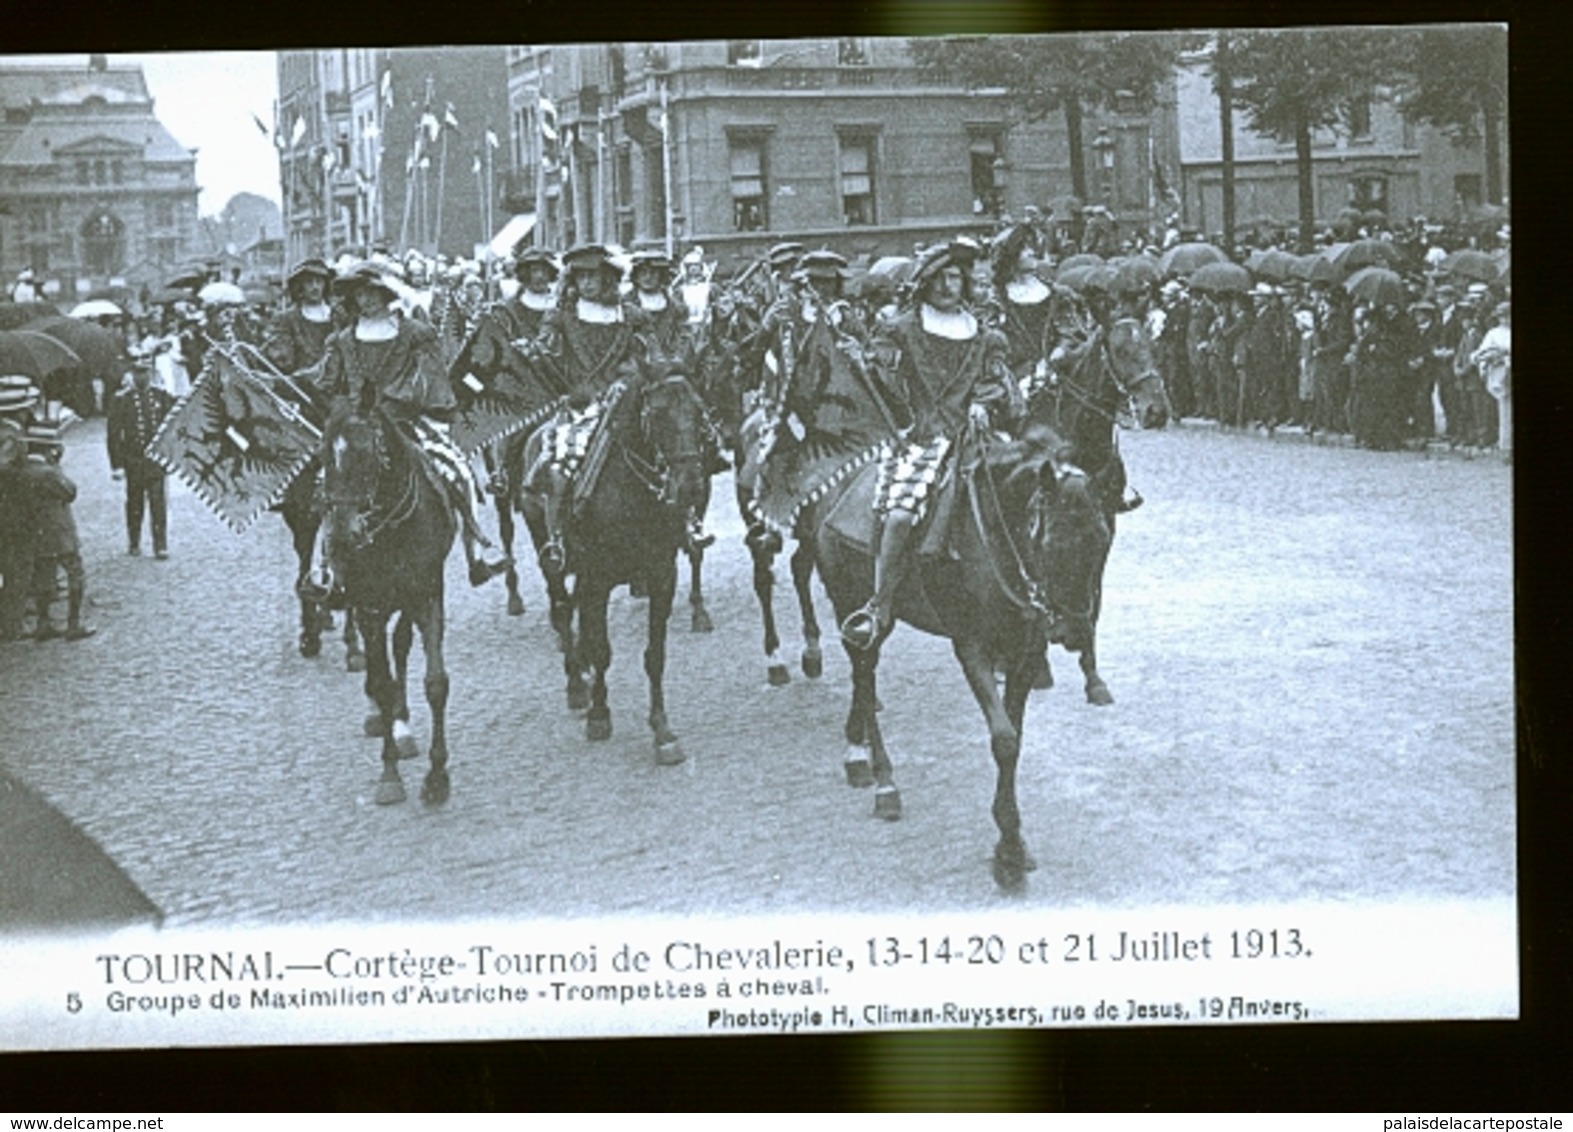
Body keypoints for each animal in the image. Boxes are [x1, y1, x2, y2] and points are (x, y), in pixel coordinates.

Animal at [515, 360, 714, 770]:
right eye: (657, 413)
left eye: (698, 411)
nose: (690, 486)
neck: (631, 497)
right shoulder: (598, 579)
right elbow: (603, 649)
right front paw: (599, 714)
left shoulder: (661, 576)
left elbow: (654, 655)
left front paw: (662, 730)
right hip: (550, 555)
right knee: (563, 608)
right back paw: (577, 684)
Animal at [811, 421, 1119, 886]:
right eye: (1050, 540)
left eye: (1102, 540)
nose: (1075, 631)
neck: (993, 535)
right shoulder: (972, 645)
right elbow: (1004, 739)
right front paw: (1008, 850)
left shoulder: (1026, 649)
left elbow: (1015, 736)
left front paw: (1013, 841)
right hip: (852, 602)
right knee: (864, 677)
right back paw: (884, 783)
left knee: (863, 679)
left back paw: (857, 754)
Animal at [1019, 317, 1170, 704]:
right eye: (1121, 351)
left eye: (1155, 348)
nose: (1156, 410)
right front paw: (1038, 668)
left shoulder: (1103, 529)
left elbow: (1093, 599)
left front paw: (1093, 678)